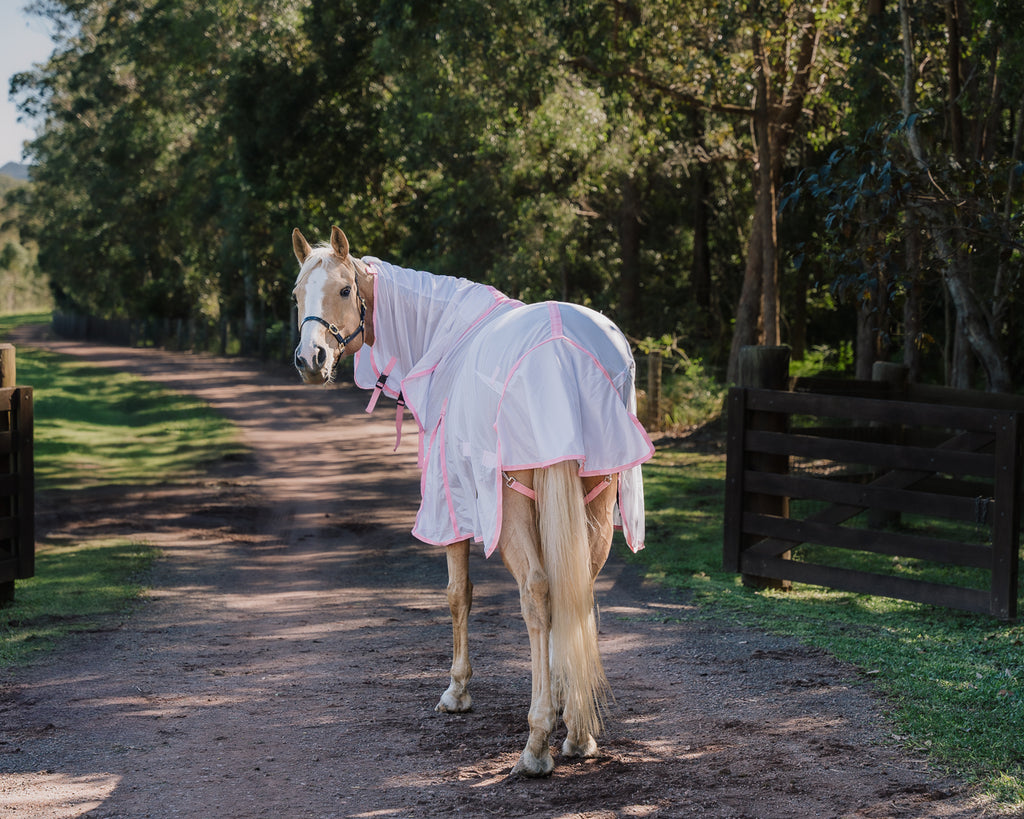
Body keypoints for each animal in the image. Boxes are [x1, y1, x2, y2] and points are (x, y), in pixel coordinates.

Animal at [290, 225, 654, 776]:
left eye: (345, 290)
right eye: (296, 295)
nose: (310, 361)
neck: (446, 335)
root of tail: (560, 348)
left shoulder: (451, 504)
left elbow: (458, 593)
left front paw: (458, 692)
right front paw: (564, 703)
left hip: (516, 500)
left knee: (537, 592)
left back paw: (536, 744)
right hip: (595, 490)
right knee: (579, 586)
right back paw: (579, 734)